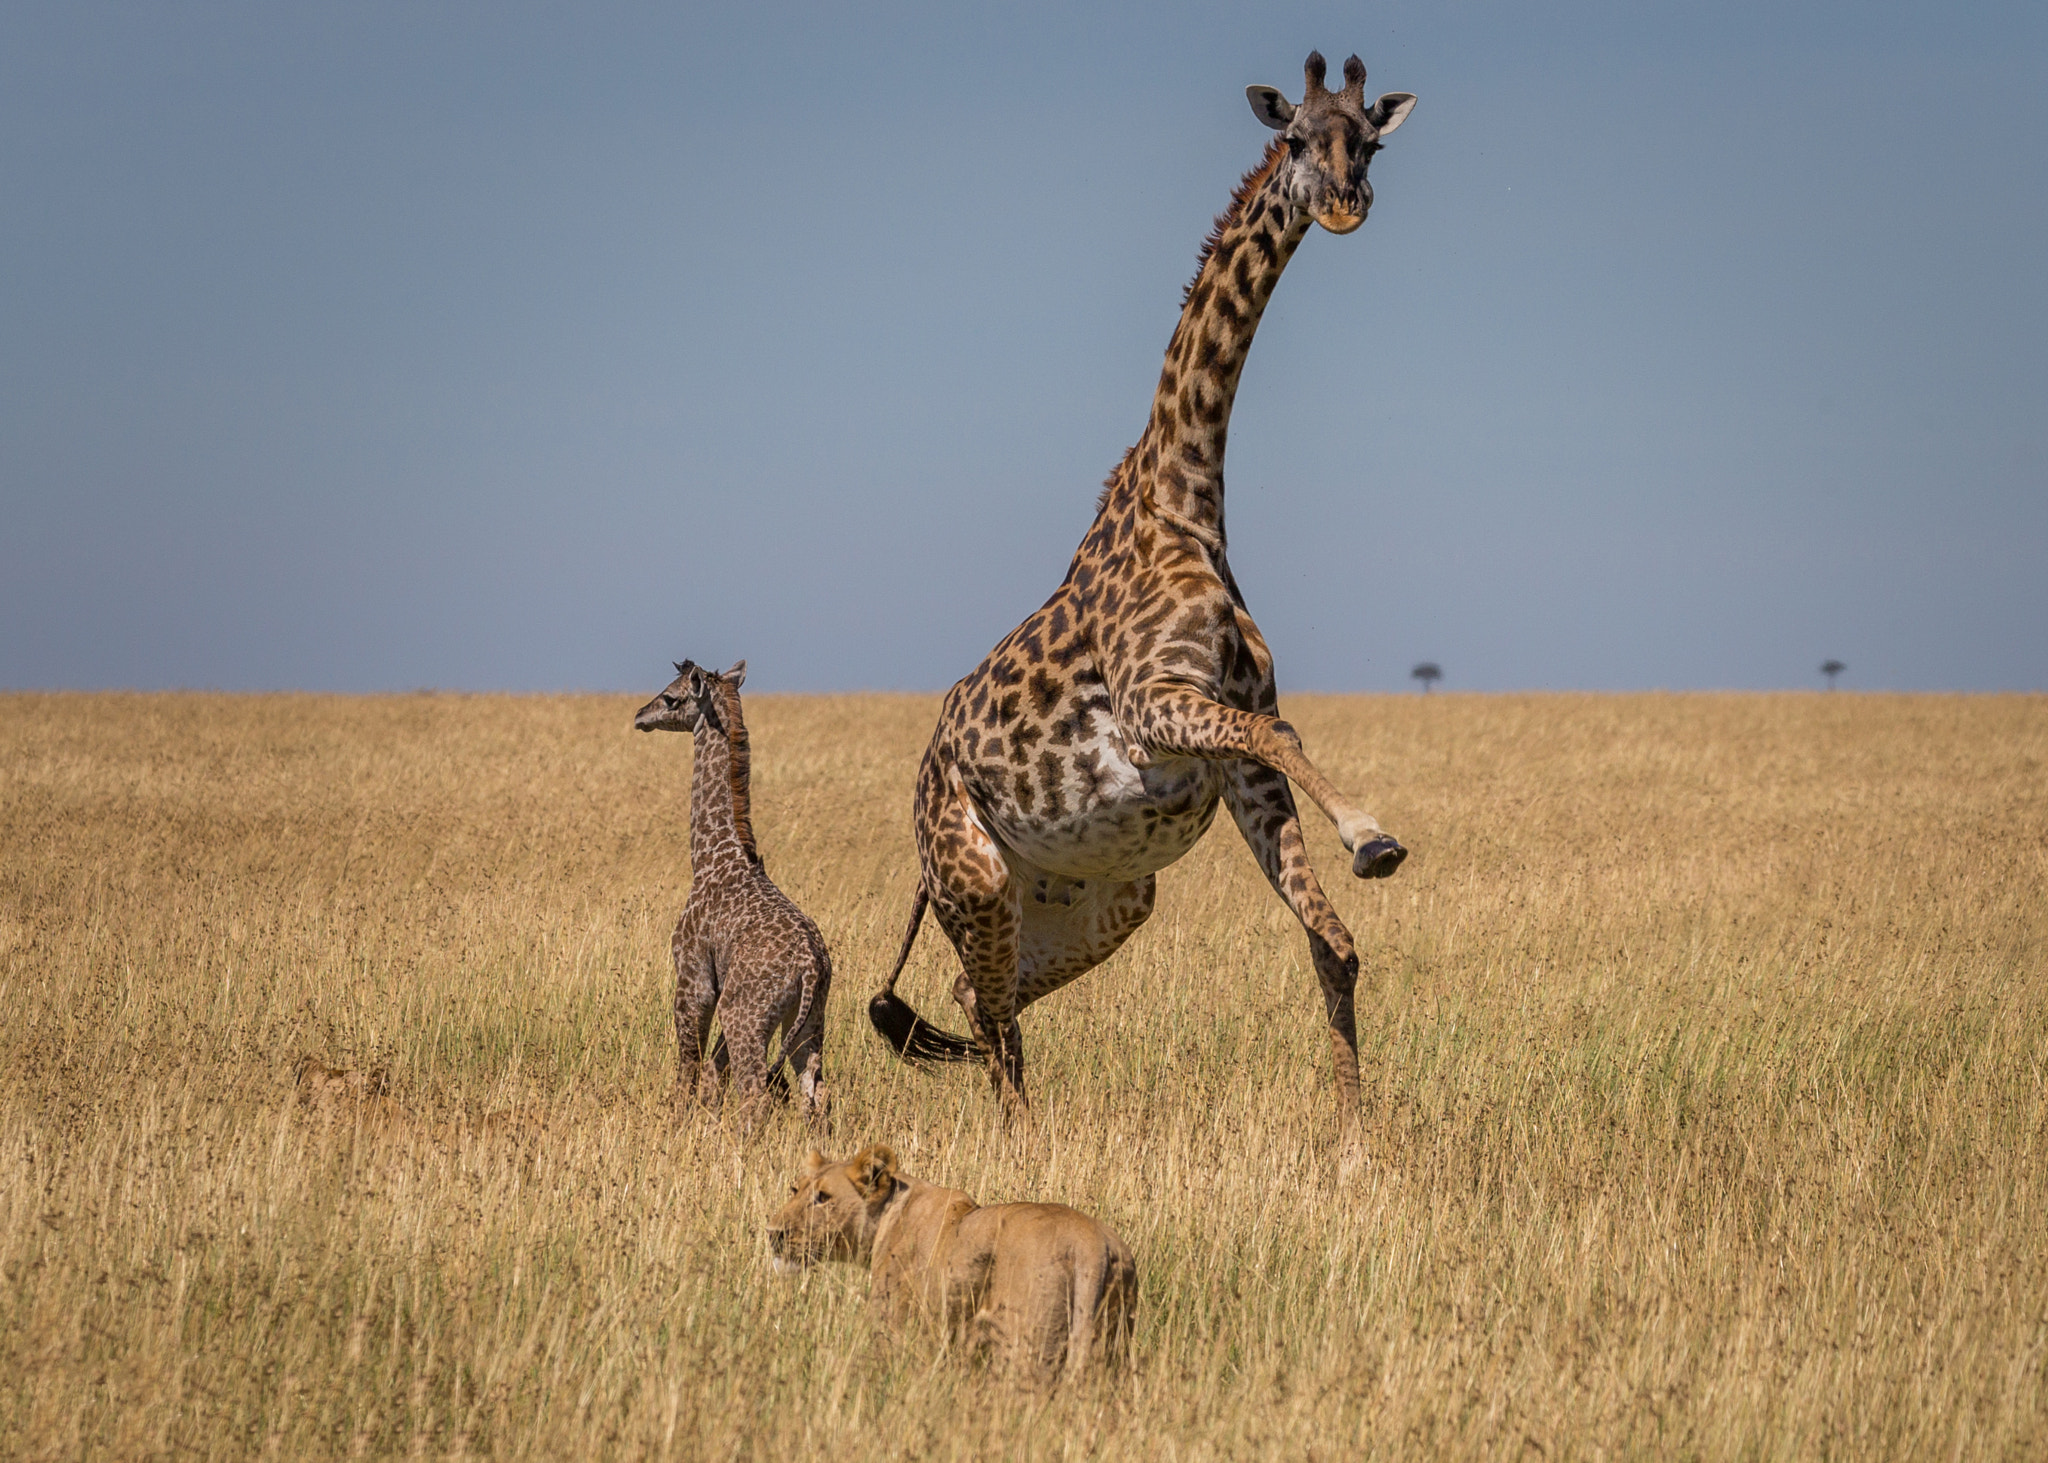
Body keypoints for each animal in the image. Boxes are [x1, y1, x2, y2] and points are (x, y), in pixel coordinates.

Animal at [636, 659, 831, 1126]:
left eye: (671, 697)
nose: (640, 716)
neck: (711, 857)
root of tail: (812, 965)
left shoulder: (694, 980)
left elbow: (690, 1067)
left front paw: (678, 1123)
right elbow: (712, 1073)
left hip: (747, 1015)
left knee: (755, 1094)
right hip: (809, 1022)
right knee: (815, 1094)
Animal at [870, 52, 1417, 1121]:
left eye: (1370, 142)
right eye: (1297, 137)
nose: (1346, 204)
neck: (1189, 495)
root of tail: (918, 802)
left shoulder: (1235, 763)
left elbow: (1333, 944)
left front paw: (1358, 1135)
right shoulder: (1151, 709)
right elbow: (1281, 737)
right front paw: (1371, 834)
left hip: (1103, 898)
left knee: (978, 994)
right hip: (973, 876)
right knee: (983, 998)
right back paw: (1017, 1142)